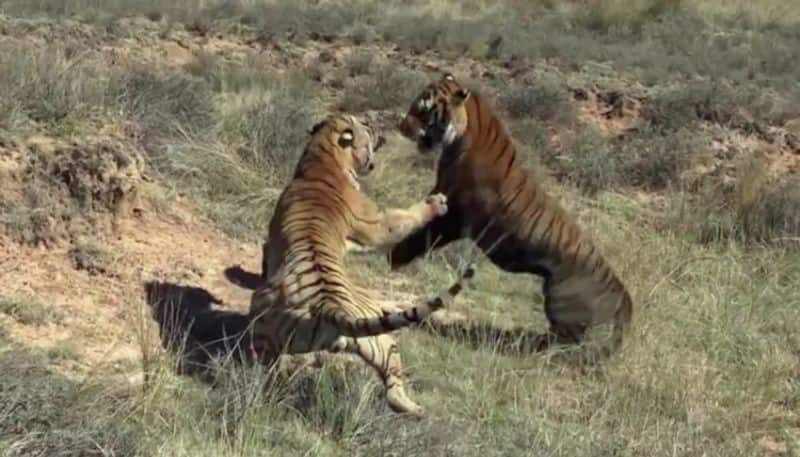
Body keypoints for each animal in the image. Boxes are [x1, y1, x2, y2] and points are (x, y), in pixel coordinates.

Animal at [248, 112, 476, 416]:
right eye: (366, 125)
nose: (380, 128)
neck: (323, 156)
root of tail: (330, 309)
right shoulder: (376, 223)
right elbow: (403, 217)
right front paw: (436, 203)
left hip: (377, 341)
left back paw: (413, 409)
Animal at [386, 73, 632, 356]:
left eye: (424, 110)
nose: (402, 126)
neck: (460, 138)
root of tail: (622, 291)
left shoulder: (455, 216)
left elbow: (421, 238)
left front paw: (392, 258)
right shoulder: (439, 193)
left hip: (561, 305)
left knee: (566, 344)